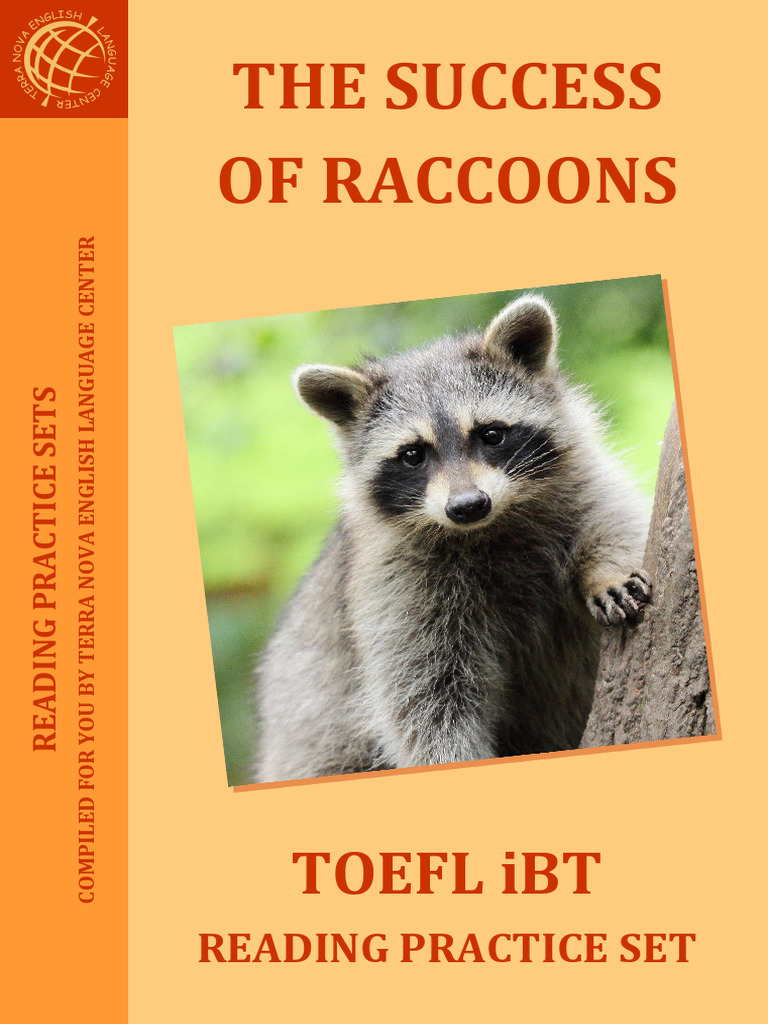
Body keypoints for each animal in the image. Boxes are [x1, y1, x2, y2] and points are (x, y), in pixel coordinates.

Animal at [255, 295, 651, 782]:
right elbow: (427, 697)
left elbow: (615, 518)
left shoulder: (580, 482)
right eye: (412, 455)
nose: (467, 505)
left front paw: (606, 569)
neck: (488, 528)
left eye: (491, 434)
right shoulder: (397, 585)